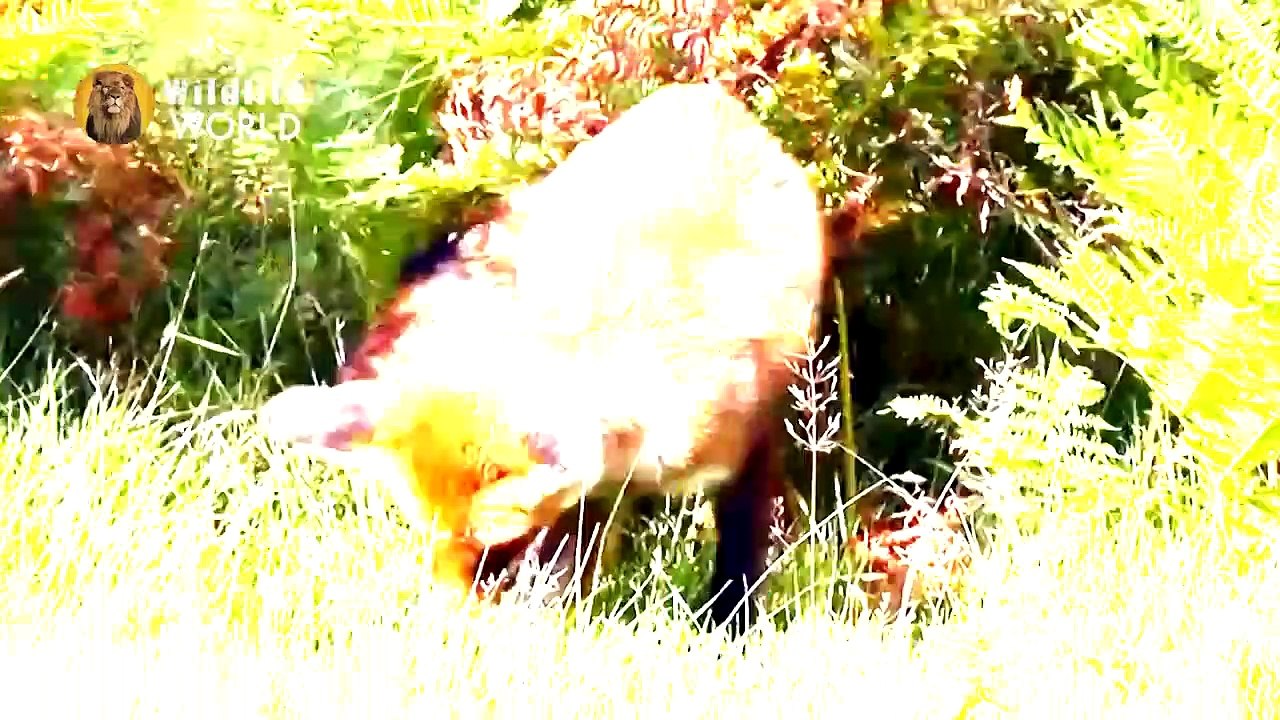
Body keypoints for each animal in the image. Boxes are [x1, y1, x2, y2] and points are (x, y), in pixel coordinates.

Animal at [259, 81, 829, 634]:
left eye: (495, 554)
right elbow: (565, 568)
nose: (454, 621)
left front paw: (729, 628)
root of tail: (706, 96)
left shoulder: (744, 448)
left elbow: (740, 562)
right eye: (434, 541)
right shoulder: (591, 494)